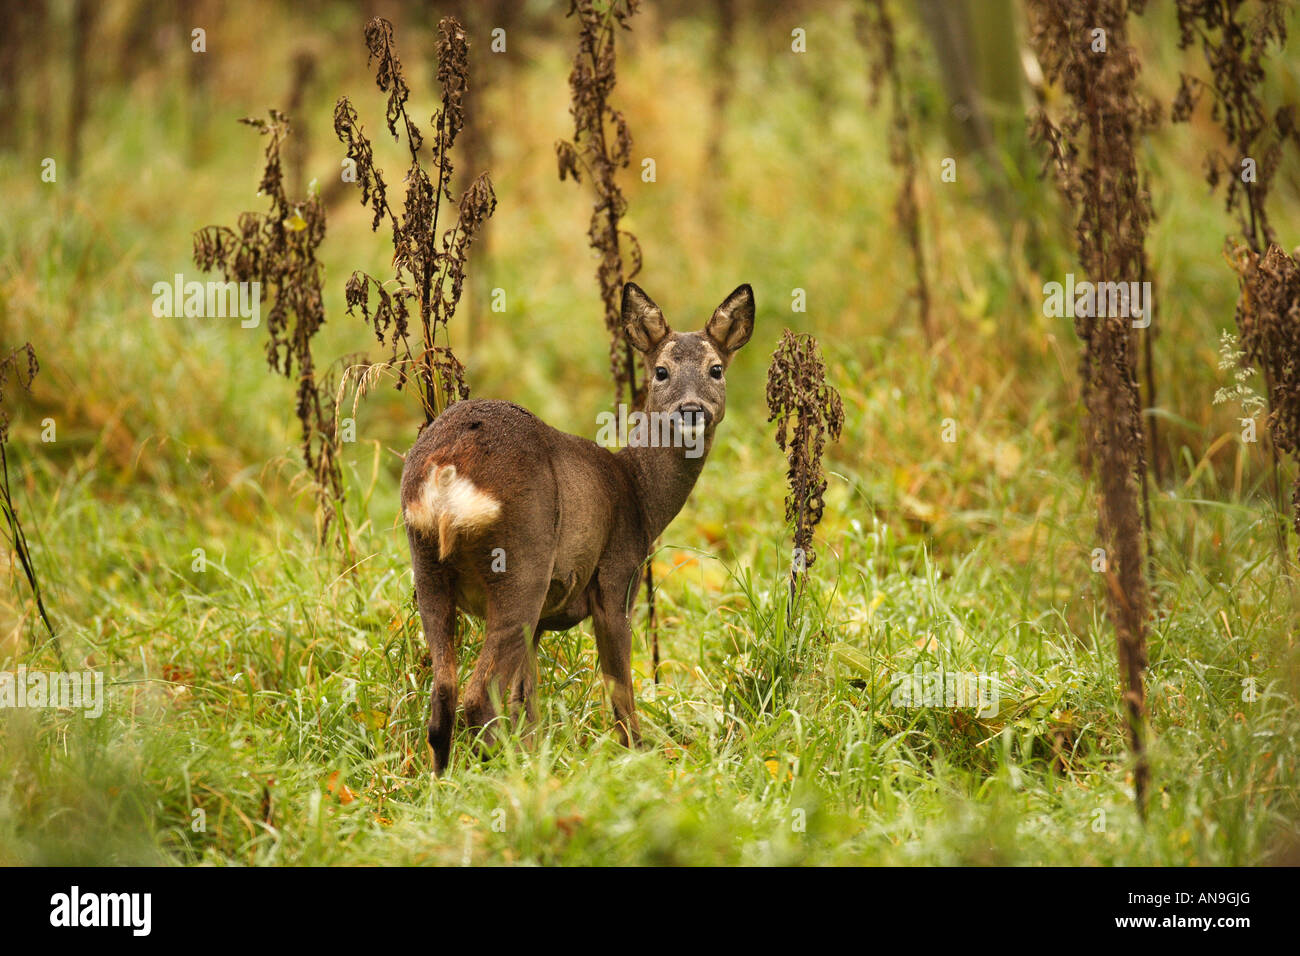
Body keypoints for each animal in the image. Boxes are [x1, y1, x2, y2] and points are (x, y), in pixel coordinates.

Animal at [400, 281, 755, 774]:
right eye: (660, 371)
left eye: (716, 369)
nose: (691, 410)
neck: (638, 492)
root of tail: (446, 468)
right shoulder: (615, 580)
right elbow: (620, 692)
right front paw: (640, 757)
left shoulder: (544, 621)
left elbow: (527, 702)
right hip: (521, 566)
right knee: (479, 695)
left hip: (427, 569)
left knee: (443, 696)